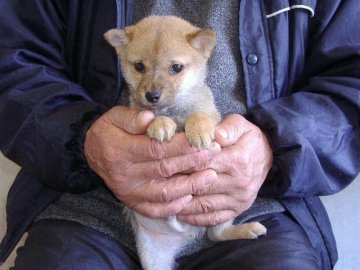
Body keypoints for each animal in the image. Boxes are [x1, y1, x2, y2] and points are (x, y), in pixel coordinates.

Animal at [103, 16, 264, 270]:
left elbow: (200, 114)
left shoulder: (213, 118)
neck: (174, 111)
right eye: (139, 67)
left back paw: (246, 229)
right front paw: (160, 124)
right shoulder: (138, 116)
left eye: (176, 68)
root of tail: (186, 233)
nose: (152, 96)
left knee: (216, 234)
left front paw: (198, 129)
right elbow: (151, 116)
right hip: (153, 256)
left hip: (222, 211)